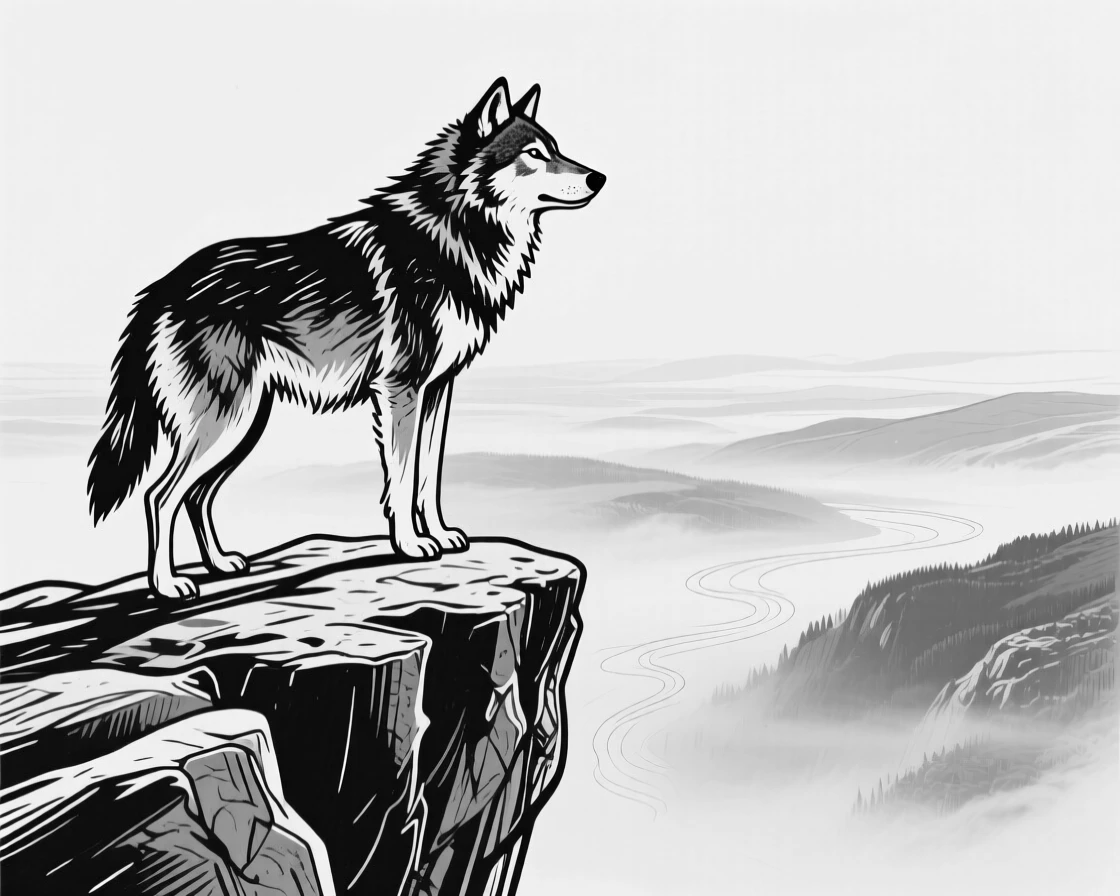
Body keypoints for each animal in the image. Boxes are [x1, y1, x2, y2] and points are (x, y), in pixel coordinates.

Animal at [86, 78, 604, 598]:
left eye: (556, 149)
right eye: (535, 154)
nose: (599, 178)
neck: (453, 233)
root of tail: (161, 286)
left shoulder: (438, 390)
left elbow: (429, 477)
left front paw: (439, 534)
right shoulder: (400, 390)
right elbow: (402, 479)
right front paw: (411, 545)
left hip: (244, 423)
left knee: (196, 495)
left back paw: (221, 564)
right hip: (223, 421)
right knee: (160, 495)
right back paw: (166, 584)